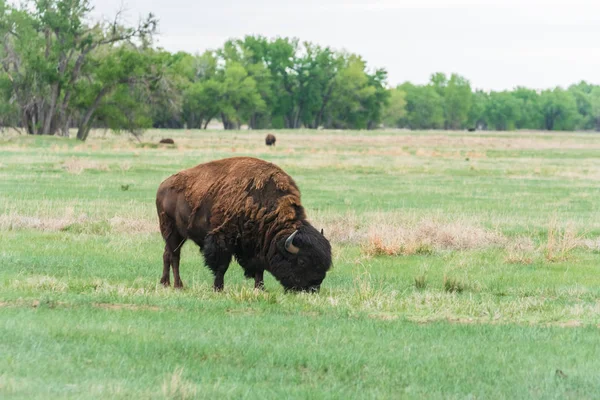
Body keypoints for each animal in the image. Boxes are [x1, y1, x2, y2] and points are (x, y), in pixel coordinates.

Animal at [155, 155, 332, 290]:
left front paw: (260, 288)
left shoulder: (257, 246)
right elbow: (221, 266)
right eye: (302, 261)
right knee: (175, 256)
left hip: (177, 235)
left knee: (166, 254)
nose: (313, 287)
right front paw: (218, 288)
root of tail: (163, 186)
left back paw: (165, 283)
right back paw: (178, 285)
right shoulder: (222, 240)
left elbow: (259, 268)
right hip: (172, 231)